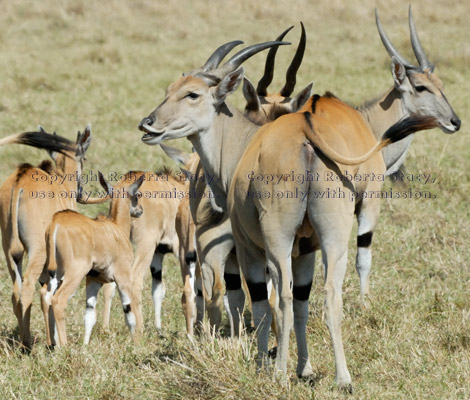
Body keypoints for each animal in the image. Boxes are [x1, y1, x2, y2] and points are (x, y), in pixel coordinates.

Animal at [0, 126, 91, 348]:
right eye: (84, 158)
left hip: (9, 251)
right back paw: (27, 345)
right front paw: (55, 343)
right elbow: (49, 295)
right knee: (27, 289)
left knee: (16, 291)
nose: (80, 192)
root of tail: (21, 178)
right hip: (37, 250)